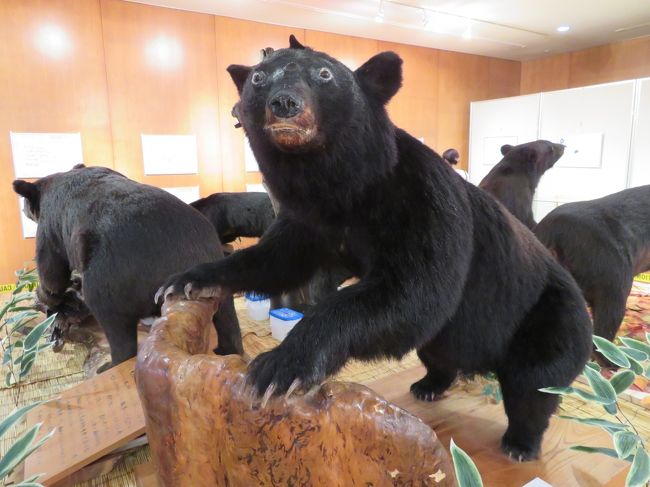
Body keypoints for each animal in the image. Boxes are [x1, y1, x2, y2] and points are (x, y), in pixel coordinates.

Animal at [13, 166, 242, 372]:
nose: (23, 209)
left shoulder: (50, 225)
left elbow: (51, 268)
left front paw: (46, 294)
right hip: (217, 268)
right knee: (227, 318)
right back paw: (227, 350)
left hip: (111, 277)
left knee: (114, 325)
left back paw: (109, 364)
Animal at [158, 36, 592, 460]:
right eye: (259, 78)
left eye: (324, 73)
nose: (284, 103)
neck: (347, 190)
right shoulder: (311, 220)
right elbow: (276, 259)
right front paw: (187, 280)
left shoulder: (422, 202)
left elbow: (415, 292)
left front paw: (280, 366)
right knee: (439, 351)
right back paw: (428, 385)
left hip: (548, 317)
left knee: (534, 384)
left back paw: (520, 442)